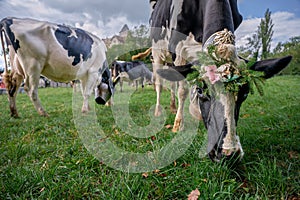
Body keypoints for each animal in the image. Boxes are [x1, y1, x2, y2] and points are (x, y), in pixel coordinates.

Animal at [149, 0, 292, 161]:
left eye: (245, 93)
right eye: (201, 90)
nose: (227, 152)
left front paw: (195, 111)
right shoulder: (178, 48)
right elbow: (183, 90)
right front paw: (178, 125)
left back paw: (174, 107)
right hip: (157, 52)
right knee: (160, 84)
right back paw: (158, 111)